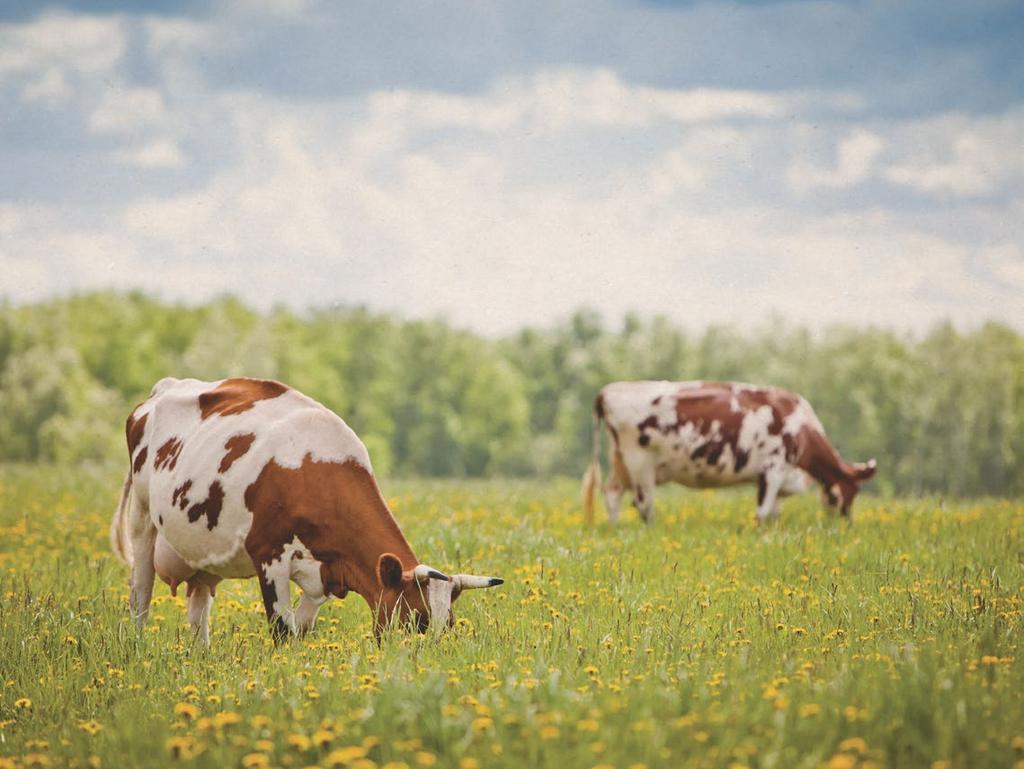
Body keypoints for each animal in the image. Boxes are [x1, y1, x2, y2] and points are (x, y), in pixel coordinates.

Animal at [112, 376, 503, 643]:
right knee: (140, 595)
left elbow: (300, 628)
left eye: (448, 626)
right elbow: (282, 630)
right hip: (142, 520)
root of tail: (165, 388)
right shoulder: (268, 555)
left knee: (198, 613)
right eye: (415, 622)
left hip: (202, 553)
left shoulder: (326, 576)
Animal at [581, 382, 876, 528]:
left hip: (621, 462)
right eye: (845, 494)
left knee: (612, 492)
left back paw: (616, 528)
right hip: (640, 464)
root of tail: (608, 391)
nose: (845, 525)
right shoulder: (773, 469)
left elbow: (774, 513)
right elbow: (762, 511)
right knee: (644, 504)